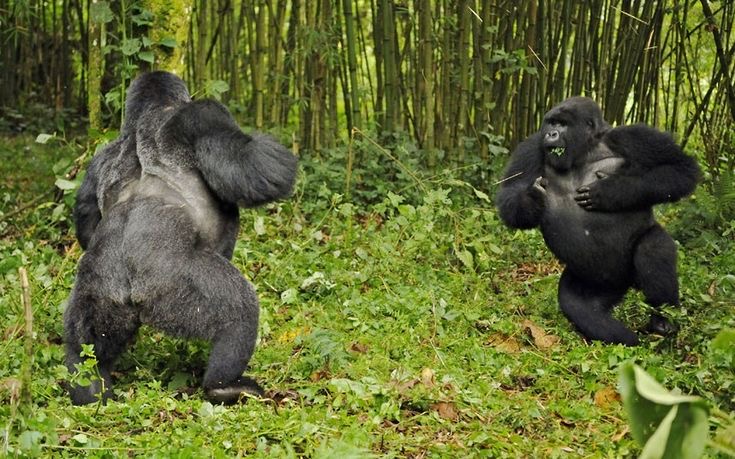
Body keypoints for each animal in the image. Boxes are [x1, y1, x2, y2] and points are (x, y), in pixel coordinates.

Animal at [64, 72, 300, 406]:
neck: (148, 115)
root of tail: (130, 289)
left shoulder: (99, 158)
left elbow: (86, 216)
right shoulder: (204, 113)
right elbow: (256, 166)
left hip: (98, 294)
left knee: (81, 341)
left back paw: (88, 387)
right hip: (175, 289)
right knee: (239, 312)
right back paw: (224, 385)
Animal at [498, 98, 700, 348]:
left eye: (563, 124)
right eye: (551, 123)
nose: (551, 134)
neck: (584, 151)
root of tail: (628, 284)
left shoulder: (632, 136)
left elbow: (681, 168)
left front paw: (612, 190)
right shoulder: (532, 145)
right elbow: (510, 196)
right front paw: (532, 198)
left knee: (653, 247)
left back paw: (663, 321)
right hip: (600, 282)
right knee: (579, 306)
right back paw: (626, 339)